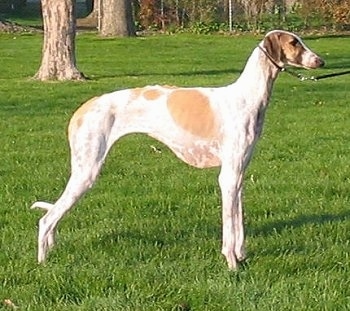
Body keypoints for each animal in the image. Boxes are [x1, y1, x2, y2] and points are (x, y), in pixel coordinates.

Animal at [31, 30, 324, 270]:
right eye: (294, 42)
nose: (320, 61)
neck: (247, 97)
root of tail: (82, 110)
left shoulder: (238, 176)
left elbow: (238, 221)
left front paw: (241, 256)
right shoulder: (227, 178)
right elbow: (229, 228)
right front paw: (232, 263)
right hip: (86, 170)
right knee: (46, 220)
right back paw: (43, 263)